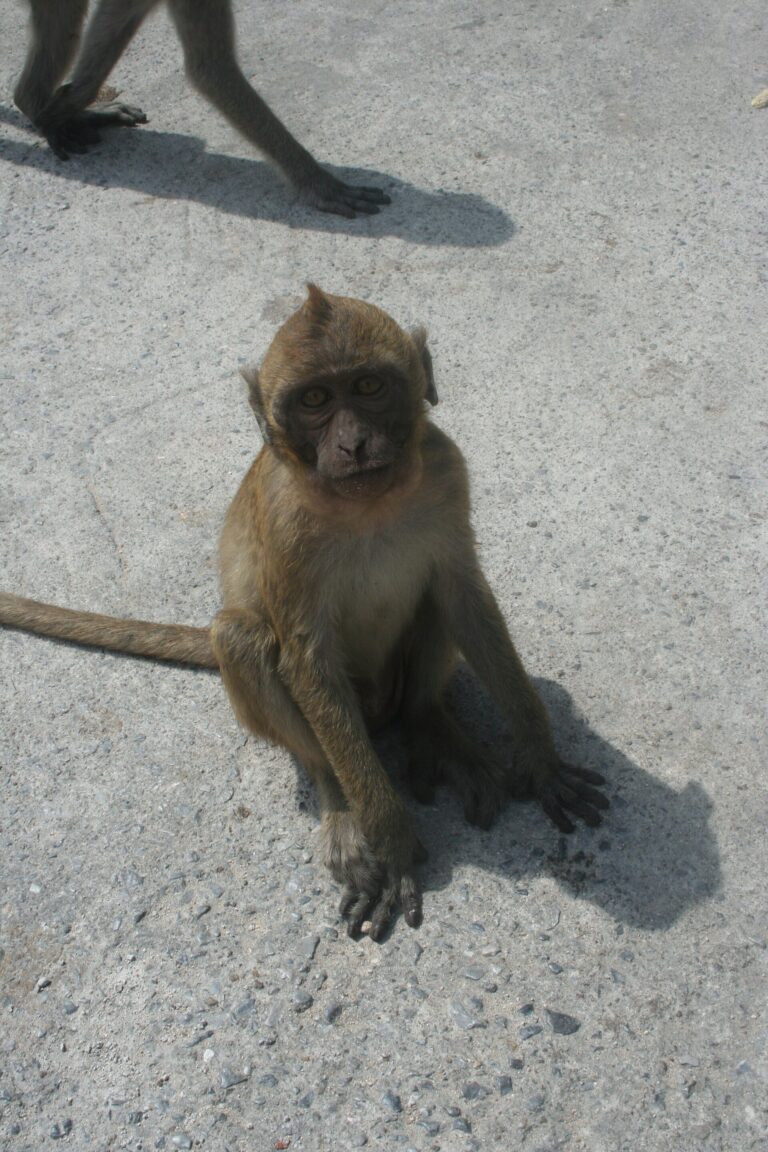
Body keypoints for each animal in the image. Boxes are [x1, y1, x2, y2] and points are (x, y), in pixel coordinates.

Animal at [0, 286, 608, 939]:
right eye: (315, 399)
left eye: (368, 386)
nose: (353, 444)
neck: (367, 504)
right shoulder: (285, 520)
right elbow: (306, 660)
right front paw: (393, 845)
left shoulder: (448, 470)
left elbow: (464, 599)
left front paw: (541, 760)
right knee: (243, 639)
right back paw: (341, 805)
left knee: (431, 610)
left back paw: (431, 726)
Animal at [13, 0, 390, 218]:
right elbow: (211, 68)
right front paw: (316, 183)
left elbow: (123, 9)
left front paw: (69, 104)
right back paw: (34, 103)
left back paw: (36, 103)